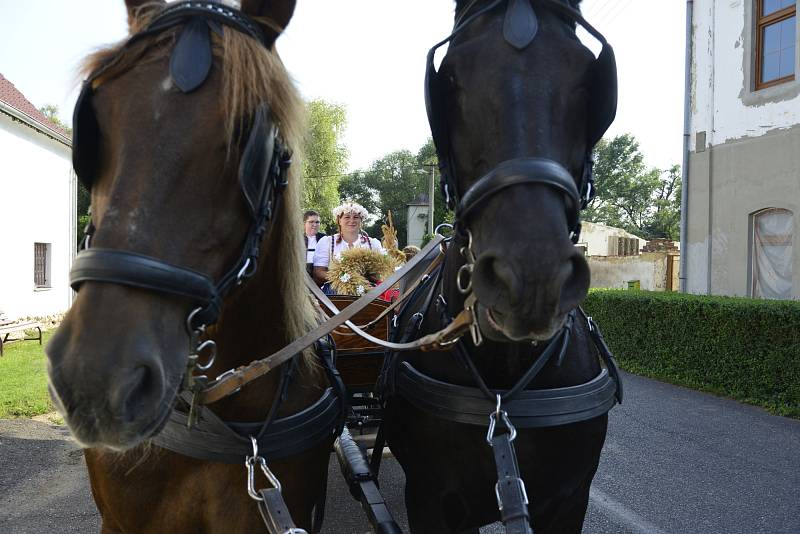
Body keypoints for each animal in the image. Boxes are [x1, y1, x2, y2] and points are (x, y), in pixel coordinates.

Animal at [382, 2, 624, 532]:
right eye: (450, 75)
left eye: (587, 75)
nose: (531, 279)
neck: (502, 395)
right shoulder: (429, 500)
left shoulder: (568, 500)